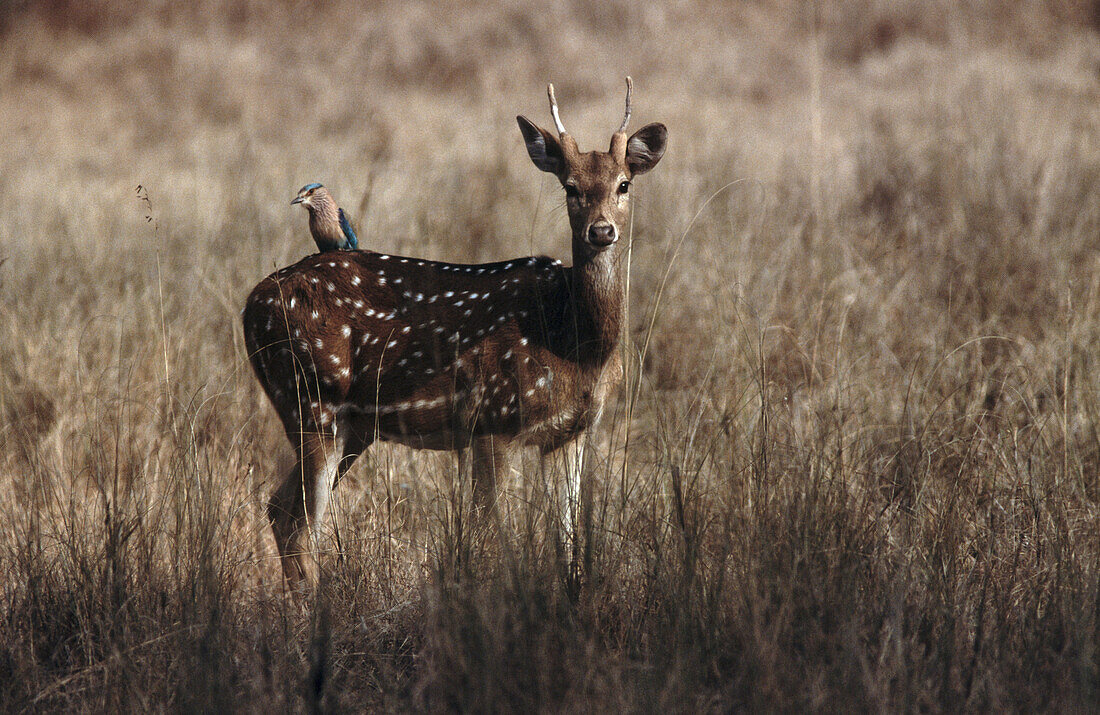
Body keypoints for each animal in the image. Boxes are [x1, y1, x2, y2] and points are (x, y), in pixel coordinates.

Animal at [244, 79, 664, 589]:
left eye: (624, 184)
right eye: (570, 187)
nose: (601, 231)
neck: (570, 338)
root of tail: (251, 304)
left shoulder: (571, 432)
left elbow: (567, 546)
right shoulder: (493, 417)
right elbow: (492, 534)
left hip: (351, 426)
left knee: (278, 508)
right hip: (309, 399)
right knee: (302, 524)